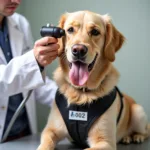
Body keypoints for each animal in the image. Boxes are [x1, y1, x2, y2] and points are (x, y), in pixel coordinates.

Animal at [37, 10, 149, 150]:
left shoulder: (105, 142)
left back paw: (135, 136)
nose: (78, 50)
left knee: (146, 131)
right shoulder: (50, 130)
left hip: (138, 112)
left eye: (95, 32)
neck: (81, 92)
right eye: (70, 30)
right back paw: (127, 137)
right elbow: (46, 143)